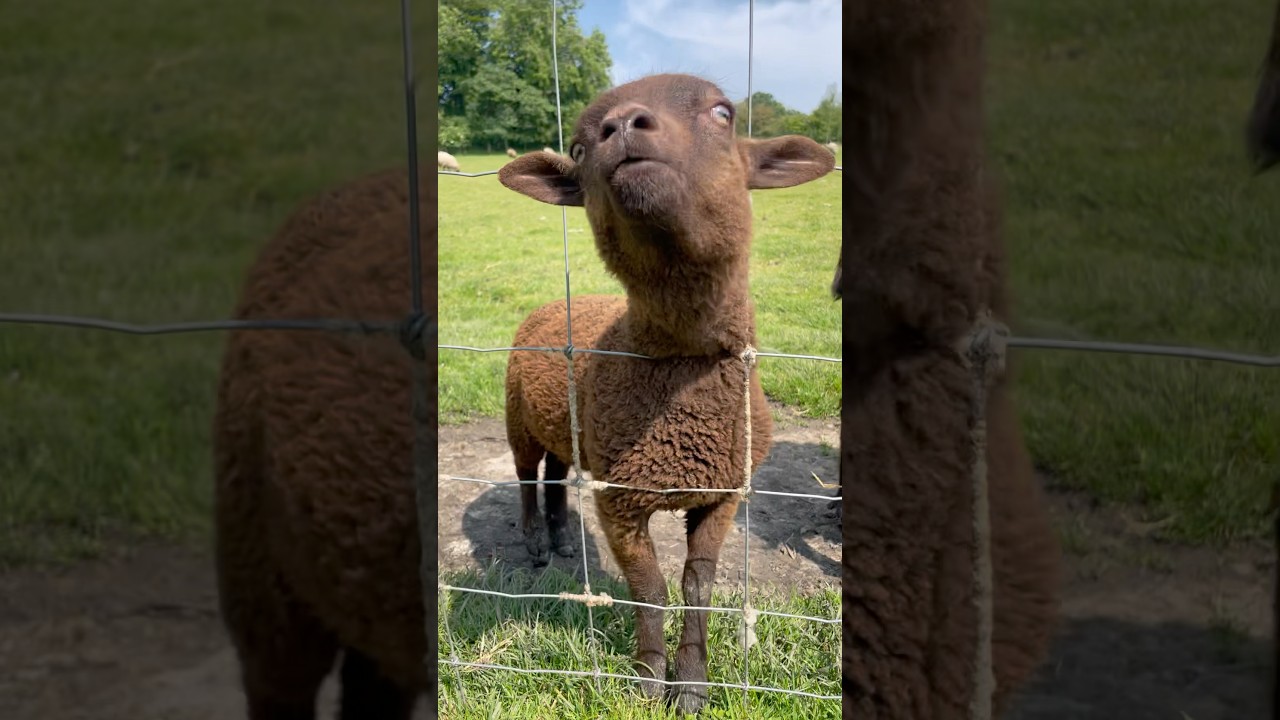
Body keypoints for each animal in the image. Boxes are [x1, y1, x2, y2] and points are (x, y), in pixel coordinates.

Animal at [498, 73, 835, 714]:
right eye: (578, 148)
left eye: (724, 113)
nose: (623, 126)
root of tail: (551, 303)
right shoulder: (621, 500)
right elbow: (649, 589)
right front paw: (650, 679)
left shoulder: (723, 494)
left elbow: (696, 585)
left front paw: (694, 684)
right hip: (517, 420)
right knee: (528, 477)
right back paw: (533, 543)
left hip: (569, 430)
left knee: (555, 476)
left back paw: (561, 539)